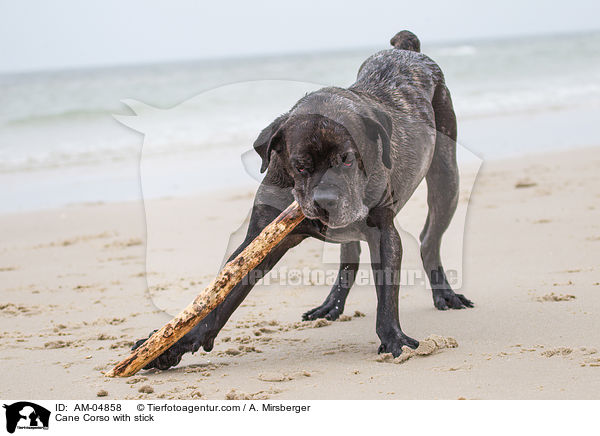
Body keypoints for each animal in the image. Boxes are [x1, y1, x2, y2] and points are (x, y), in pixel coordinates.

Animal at [135, 29, 474, 368]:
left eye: (347, 159)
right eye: (300, 166)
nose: (325, 201)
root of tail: (408, 50)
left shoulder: (383, 232)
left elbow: (387, 294)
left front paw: (394, 338)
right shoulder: (261, 241)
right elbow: (222, 296)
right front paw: (173, 345)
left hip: (447, 177)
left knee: (429, 239)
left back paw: (445, 294)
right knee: (350, 254)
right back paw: (331, 306)